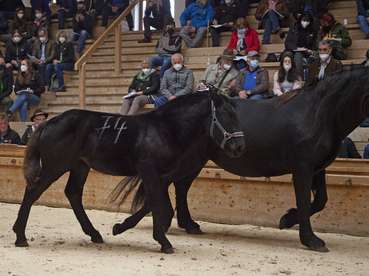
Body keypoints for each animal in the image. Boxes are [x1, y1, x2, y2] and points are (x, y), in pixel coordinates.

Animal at [12, 91, 246, 253]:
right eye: (225, 115)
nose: (239, 147)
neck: (165, 129)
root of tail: (48, 123)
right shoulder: (150, 172)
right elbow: (159, 206)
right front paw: (163, 241)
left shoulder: (161, 176)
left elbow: (157, 205)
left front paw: (120, 227)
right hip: (55, 166)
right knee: (33, 191)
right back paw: (20, 236)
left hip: (79, 166)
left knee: (73, 193)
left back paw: (95, 234)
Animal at [114, 66, 369, 252]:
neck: (317, 113)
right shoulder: (303, 168)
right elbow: (306, 201)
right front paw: (310, 239)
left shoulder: (317, 168)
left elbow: (321, 200)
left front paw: (287, 219)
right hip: (188, 162)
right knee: (166, 186)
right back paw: (128, 226)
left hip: (194, 162)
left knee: (178, 187)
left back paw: (186, 225)